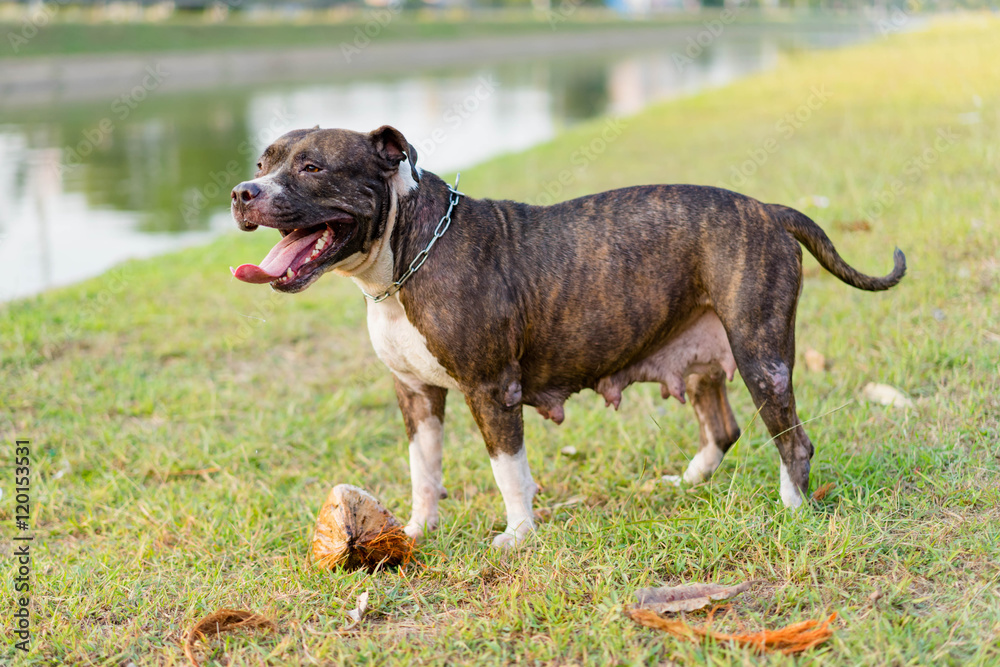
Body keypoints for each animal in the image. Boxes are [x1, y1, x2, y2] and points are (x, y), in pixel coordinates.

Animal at [229, 125, 908, 548]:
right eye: (262, 164)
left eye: (312, 167)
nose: (242, 192)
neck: (404, 257)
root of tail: (768, 209)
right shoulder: (416, 395)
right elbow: (424, 469)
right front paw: (417, 531)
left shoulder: (490, 389)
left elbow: (507, 469)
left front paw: (518, 535)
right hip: (703, 357)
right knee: (723, 427)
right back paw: (687, 483)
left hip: (760, 355)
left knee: (792, 440)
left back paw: (792, 507)